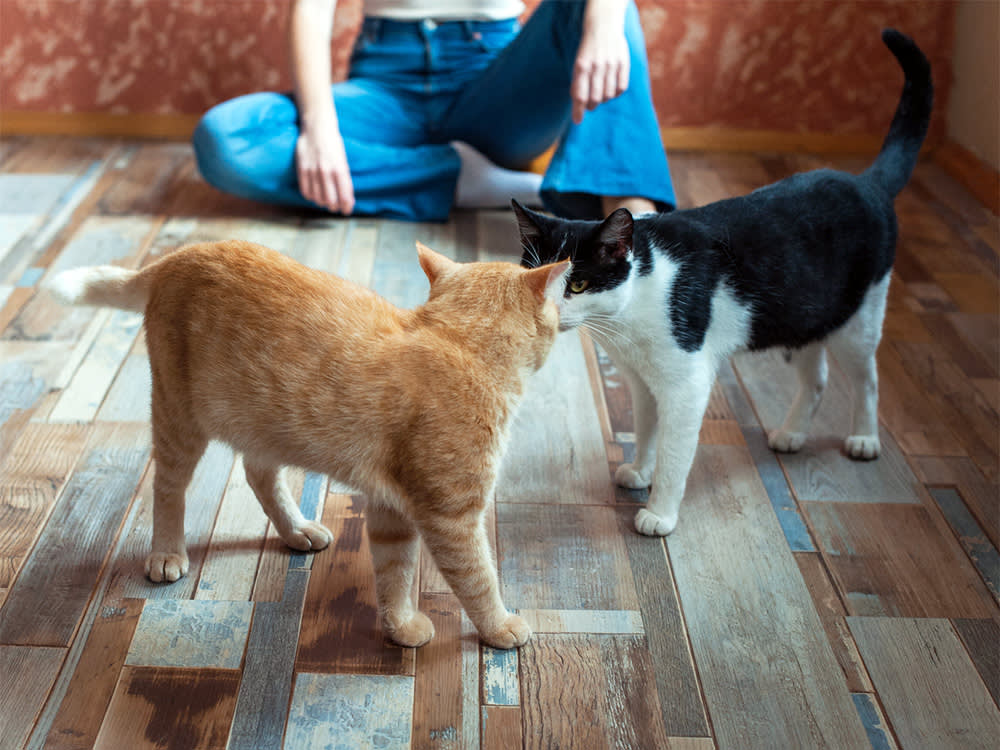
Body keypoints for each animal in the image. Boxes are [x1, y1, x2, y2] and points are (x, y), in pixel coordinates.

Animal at [48, 242, 564, 652]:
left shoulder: (392, 510)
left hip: (267, 424)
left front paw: (399, 626)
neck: (457, 342)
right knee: (168, 486)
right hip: (180, 419)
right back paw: (167, 551)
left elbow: (394, 572)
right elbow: (478, 578)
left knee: (258, 475)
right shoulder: (451, 517)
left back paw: (296, 529)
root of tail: (183, 253)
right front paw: (499, 627)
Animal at [516, 27, 928, 536]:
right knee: (817, 378)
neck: (635, 305)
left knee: (867, 378)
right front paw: (640, 471)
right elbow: (646, 428)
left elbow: (675, 452)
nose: (548, 311)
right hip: (801, 317)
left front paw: (659, 512)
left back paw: (865, 438)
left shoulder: (687, 384)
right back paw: (792, 433)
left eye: (578, 285)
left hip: (859, 318)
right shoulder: (641, 379)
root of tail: (866, 183)